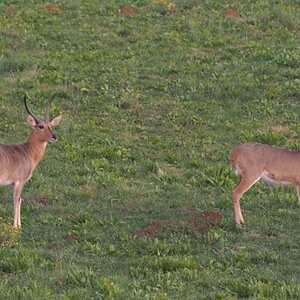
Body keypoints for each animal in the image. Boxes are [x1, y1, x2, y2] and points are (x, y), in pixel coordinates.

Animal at [0, 95, 61, 229]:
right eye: (41, 126)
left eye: (51, 125)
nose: (54, 136)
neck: (27, 151)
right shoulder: (19, 182)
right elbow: (16, 201)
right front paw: (16, 227)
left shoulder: (13, 184)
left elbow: (19, 200)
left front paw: (19, 225)